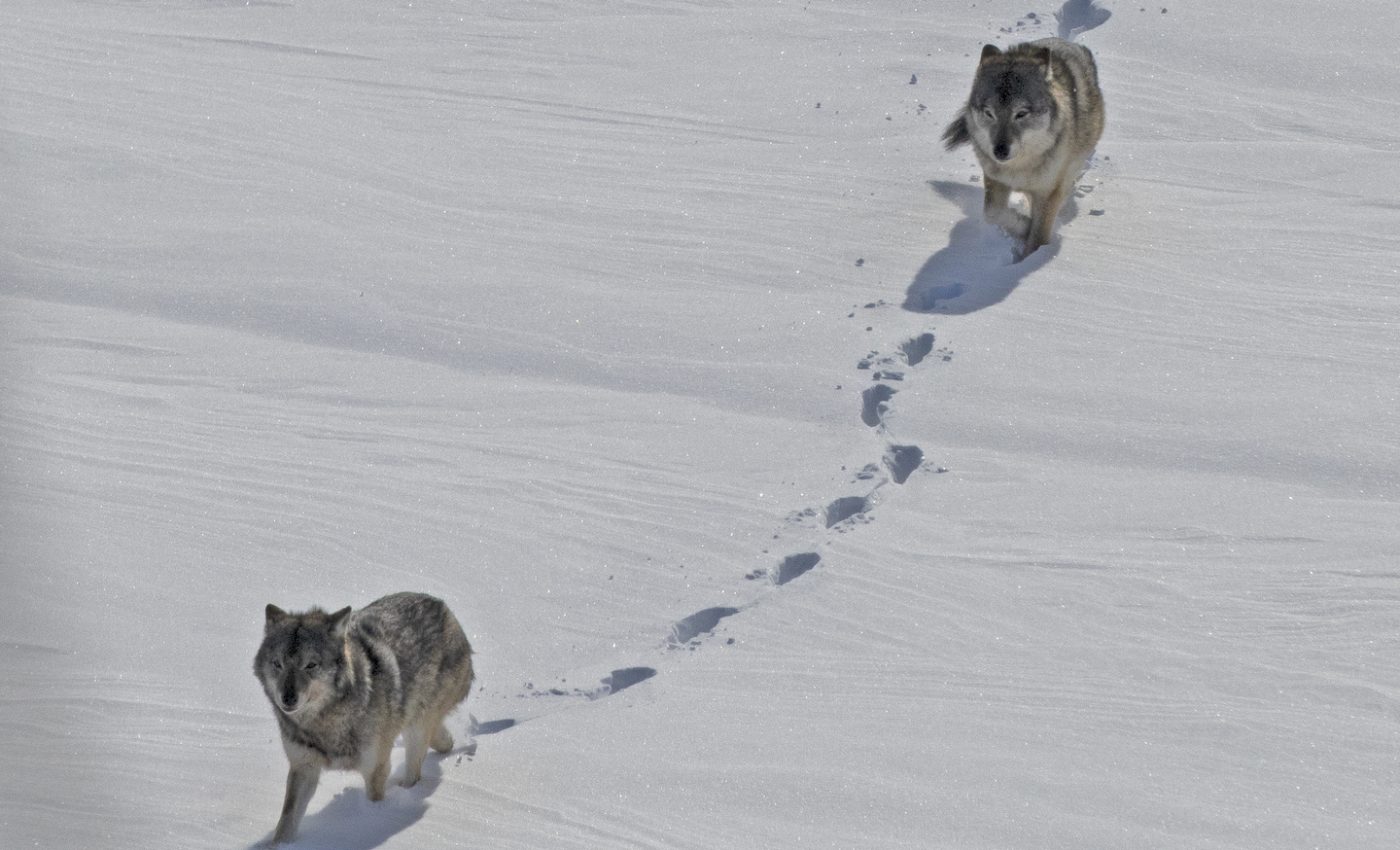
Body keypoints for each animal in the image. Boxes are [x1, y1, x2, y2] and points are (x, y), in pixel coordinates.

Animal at [253, 592, 474, 844]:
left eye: (311, 665)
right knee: (439, 737)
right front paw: (278, 845)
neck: (325, 725)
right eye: (277, 664)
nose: (287, 698)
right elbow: (286, 823)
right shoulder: (303, 769)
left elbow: (373, 804)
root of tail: (441, 605)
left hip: (416, 732)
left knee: (415, 772)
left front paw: (370, 823)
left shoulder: (375, 769)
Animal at [942, 37, 1105, 257]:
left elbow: (1038, 238)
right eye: (989, 113)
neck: (1019, 167)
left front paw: (1029, 257)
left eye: (1020, 114)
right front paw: (1024, 227)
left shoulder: (1048, 191)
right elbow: (993, 214)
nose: (1000, 150)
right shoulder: (996, 180)